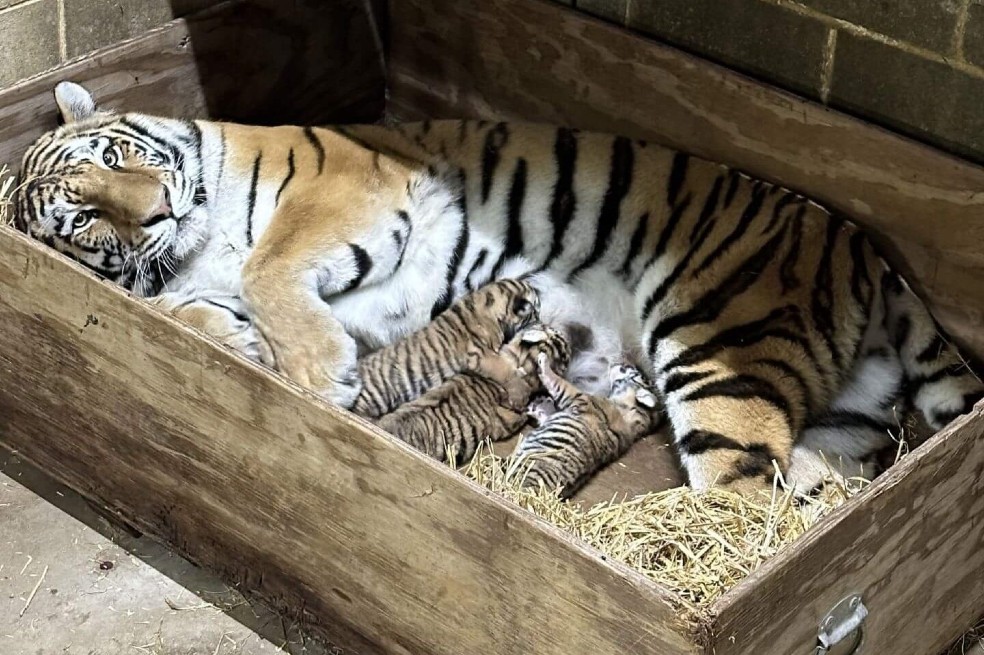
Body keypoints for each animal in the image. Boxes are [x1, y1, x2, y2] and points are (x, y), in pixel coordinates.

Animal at [508, 356, 663, 498]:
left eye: (637, 373)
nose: (624, 360)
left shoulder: (578, 397)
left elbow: (557, 381)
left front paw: (544, 361)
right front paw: (538, 405)